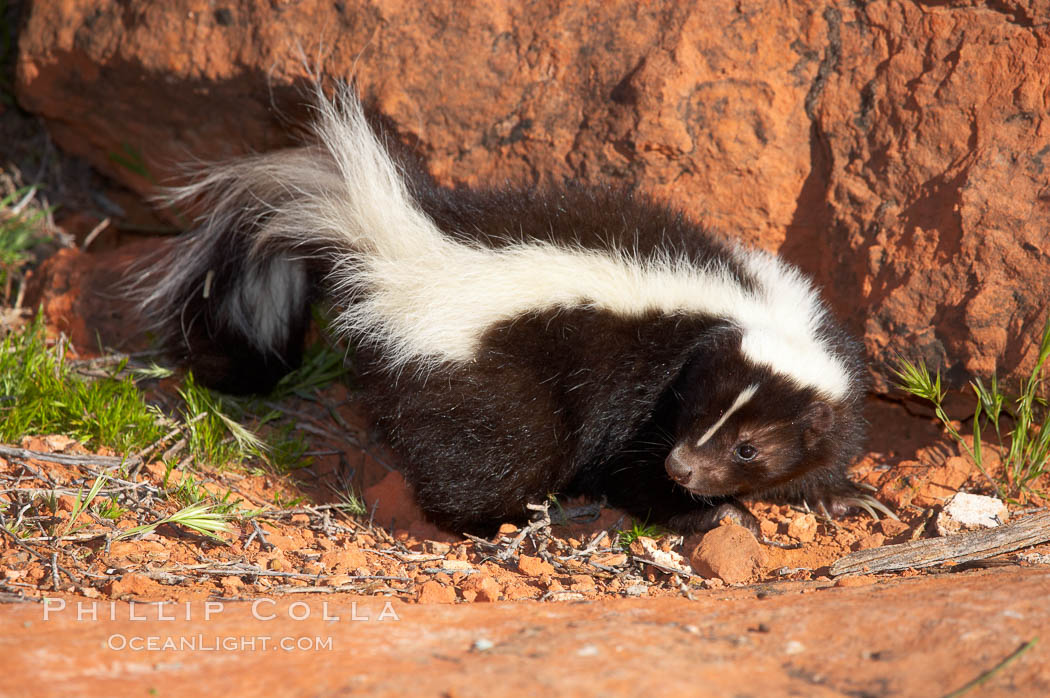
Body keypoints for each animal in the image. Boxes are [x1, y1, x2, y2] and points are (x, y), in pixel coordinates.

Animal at [137, 85, 886, 533]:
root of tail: (406, 248)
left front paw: (840, 493)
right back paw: (506, 522)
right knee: (495, 456)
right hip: (490, 385)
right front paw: (715, 516)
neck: (754, 308)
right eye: (693, 415)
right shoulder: (639, 389)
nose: (686, 467)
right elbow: (629, 464)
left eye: (748, 445)